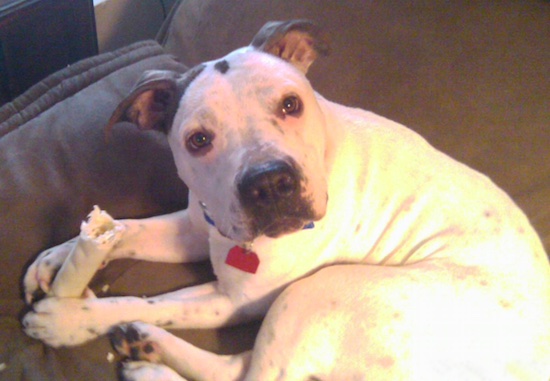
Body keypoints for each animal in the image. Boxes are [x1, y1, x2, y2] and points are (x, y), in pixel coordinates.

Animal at [22, 20, 550, 380]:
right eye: (198, 140)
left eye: (290, 104)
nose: (270, 183)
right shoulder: (197, 225)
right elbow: (130, 229)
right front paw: (60, 259)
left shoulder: (234, 301)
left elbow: (149, 301)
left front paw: (70, 318)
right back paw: (146, 350)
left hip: (312, 296)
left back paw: (148, 362)